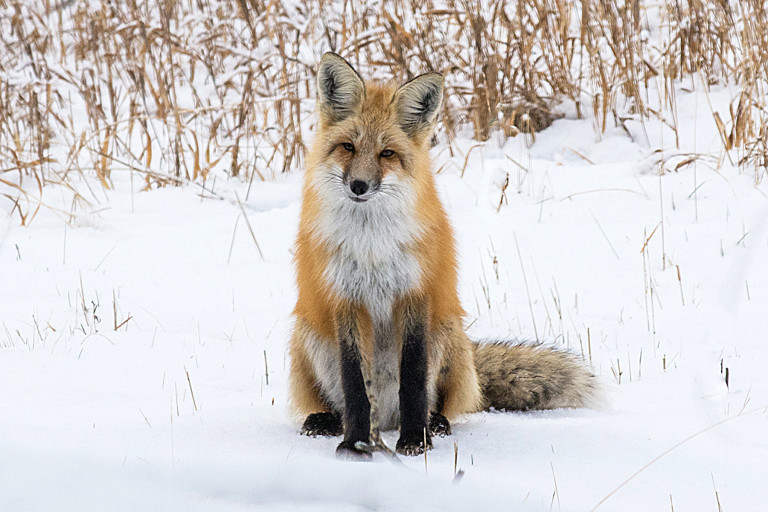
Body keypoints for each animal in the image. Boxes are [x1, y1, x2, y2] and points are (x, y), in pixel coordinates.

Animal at [288, 53, 592, 460]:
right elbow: (355, 387)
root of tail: (387, 420)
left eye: (387, 153)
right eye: (348, 147)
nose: (359, 186)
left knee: (442, 402)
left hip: (448, 332)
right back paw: (326, 421)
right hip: (307, 334)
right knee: (340, 403)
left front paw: (416, 442)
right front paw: (355, 445)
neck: (371, 247)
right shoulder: (345, 300)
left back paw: (435, 424)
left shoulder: (417, 294)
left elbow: (414, 380)